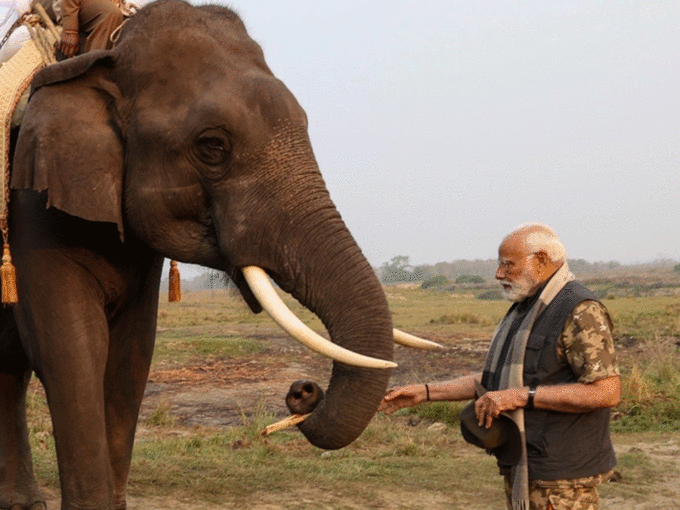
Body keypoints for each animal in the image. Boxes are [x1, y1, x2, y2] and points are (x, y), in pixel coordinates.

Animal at [0, 0, 436, 510]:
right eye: (213, 146)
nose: (303, 391)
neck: (104, 55)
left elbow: (131, 356)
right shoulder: (31, 202)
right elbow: (69, 352)